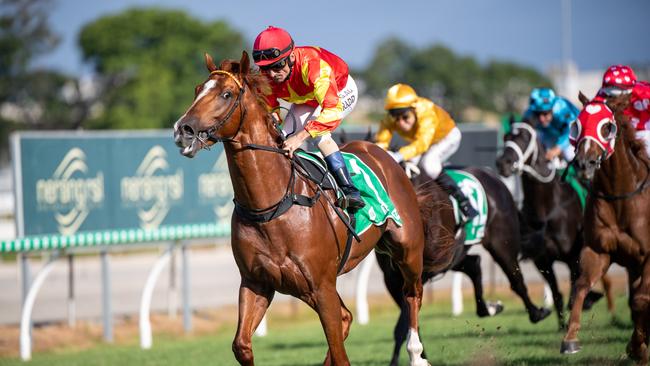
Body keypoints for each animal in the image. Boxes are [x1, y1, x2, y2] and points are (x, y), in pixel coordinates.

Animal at [173, 52, 456, 366]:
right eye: (198, 90)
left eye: (226, 94)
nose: (183, 130)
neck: (271, 205)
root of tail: (386, 156)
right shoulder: (256, 283)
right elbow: (242, 345)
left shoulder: (322, 286)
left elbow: (340, 351)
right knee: (347, 317)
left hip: (407, 250)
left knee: (412, 294)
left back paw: (417, 354)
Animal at [374, 164, 548, 364]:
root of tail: (493, 176)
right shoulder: (392, 280)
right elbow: (409, 320)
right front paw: (420, 356)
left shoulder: (420, 272)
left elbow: (404, 323)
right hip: (455, 254)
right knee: (475, 264)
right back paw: (490, 308)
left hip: (501, 244)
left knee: (516, 280)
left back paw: (536, 313)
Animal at [496, 121, 612, 328]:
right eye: (506, 137)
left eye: (524, 137)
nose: (503, 164)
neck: (548, 207)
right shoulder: (542, 259)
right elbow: (558, 294)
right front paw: (562, 325)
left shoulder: (574, 255)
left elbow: (575, 291)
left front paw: (586, 303)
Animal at [556, 92, 648, 360]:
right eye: (577, 124)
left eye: (607, 127)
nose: (584, 164)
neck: (620, 195)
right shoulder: (598, 250)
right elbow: (581, 286)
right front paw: (570, 339)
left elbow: (641, 299)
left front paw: (636, 346)